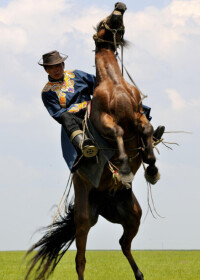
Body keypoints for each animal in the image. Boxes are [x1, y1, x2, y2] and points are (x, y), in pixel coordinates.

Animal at [25, 2, 159, 280]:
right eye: (103, 19)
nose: (120, 7)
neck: (114, 84)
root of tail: (104, 198)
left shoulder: (137, 113)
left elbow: (147, 128)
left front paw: (151, 166)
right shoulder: (105, 120)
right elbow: (117, 133)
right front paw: (125, 167)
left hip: (132, 215)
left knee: (123, 244)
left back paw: (140, 274)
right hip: (84, 221)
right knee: (81, 259)